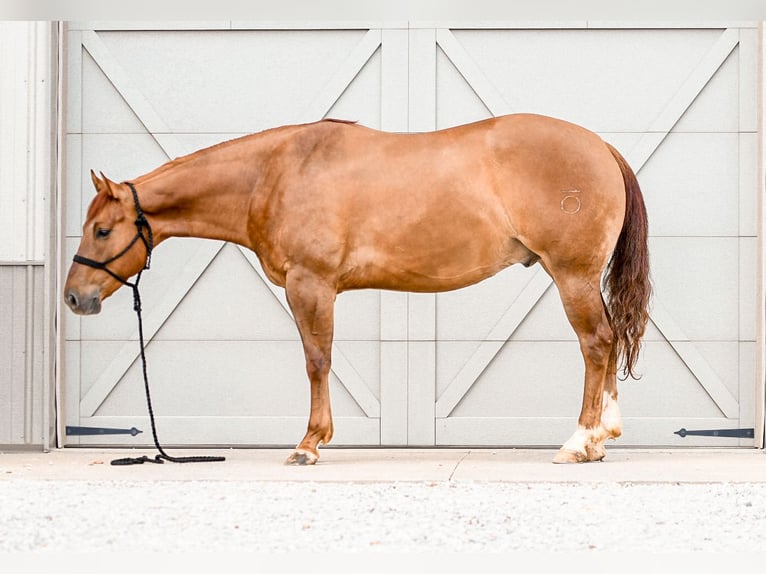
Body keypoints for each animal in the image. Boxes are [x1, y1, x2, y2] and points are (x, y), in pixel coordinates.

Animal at [64, 113, 651, 465]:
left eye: (102, 229)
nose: (73, 297)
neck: (272, 174)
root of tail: (600, 147)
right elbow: (320, 360)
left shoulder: (310, 284)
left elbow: (316, 360)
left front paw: (308, 444)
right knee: (609, 339)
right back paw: (602, 439)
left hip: (571, 275)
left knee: (596, 343)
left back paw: (579, 442)